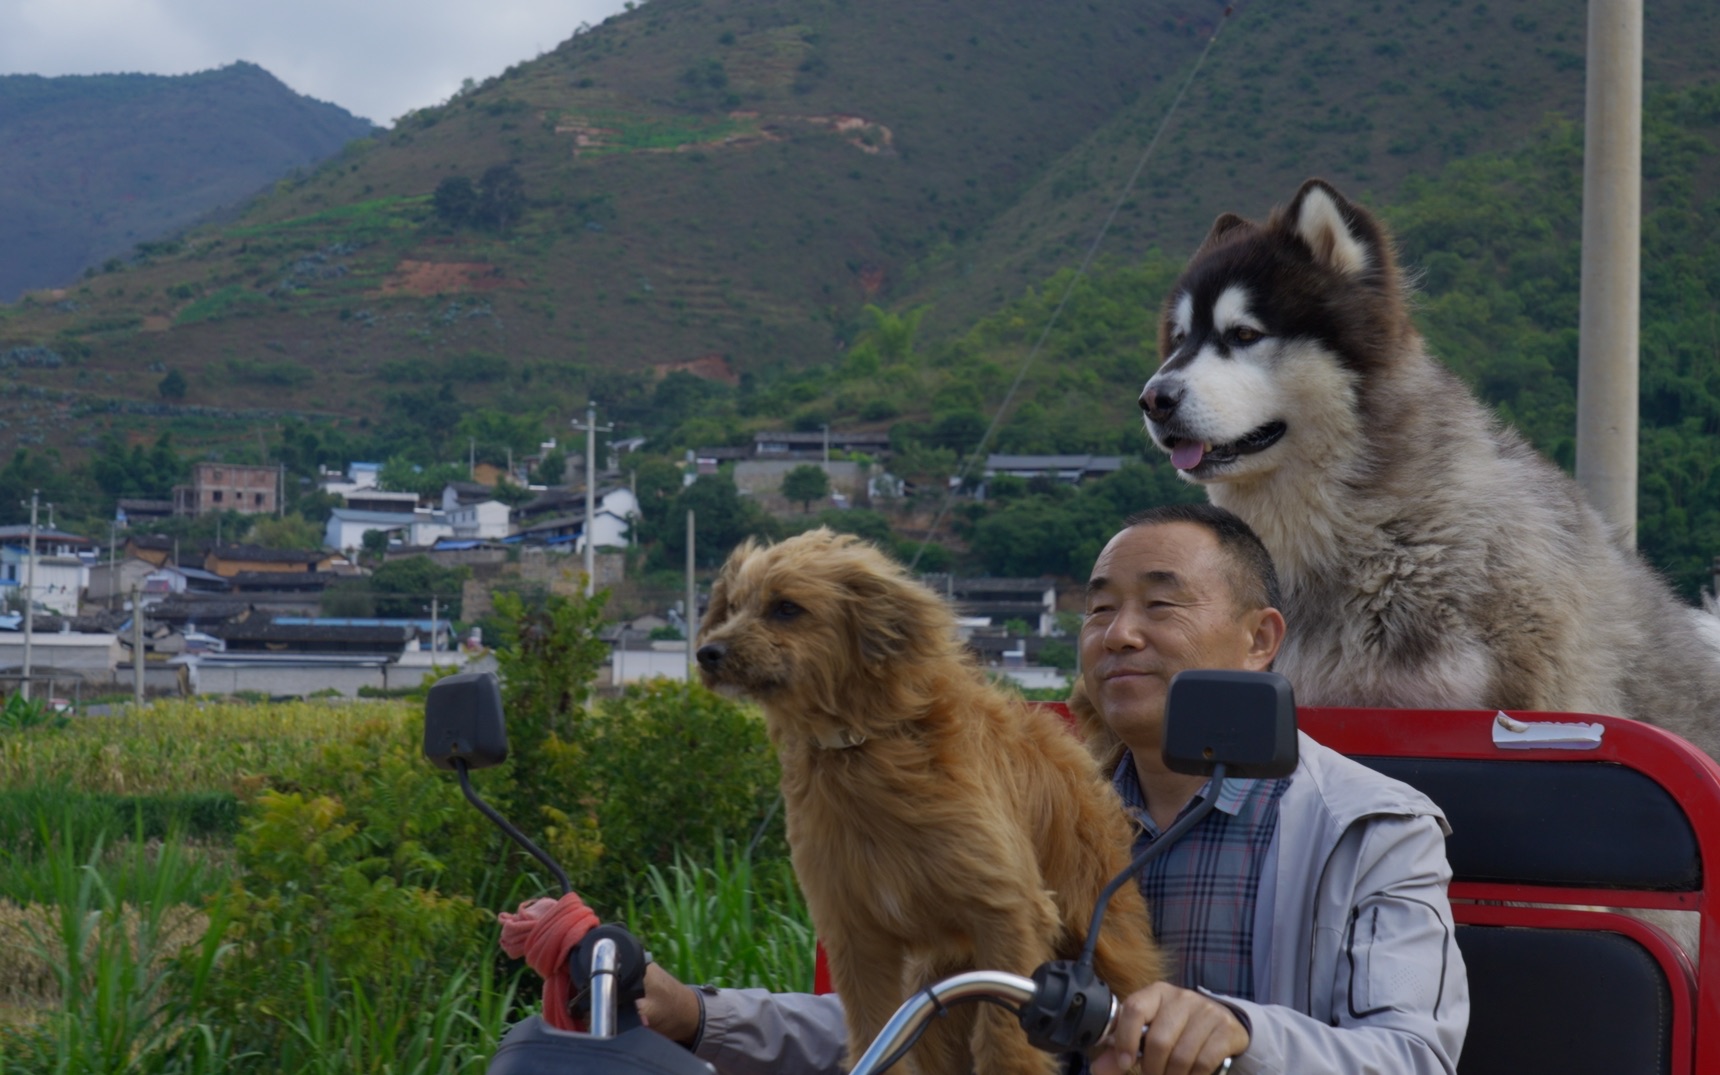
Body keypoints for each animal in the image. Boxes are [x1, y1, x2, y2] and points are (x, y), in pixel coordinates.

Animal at [698, 529, 1169, 1073]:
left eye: (787, 608)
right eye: (732, 606)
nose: (707, 652)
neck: (862, 747)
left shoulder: (1009, 916)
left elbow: (1005, 1046)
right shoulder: (857, 936)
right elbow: (872, 1033)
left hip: (1107, 940)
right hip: (934, 981)